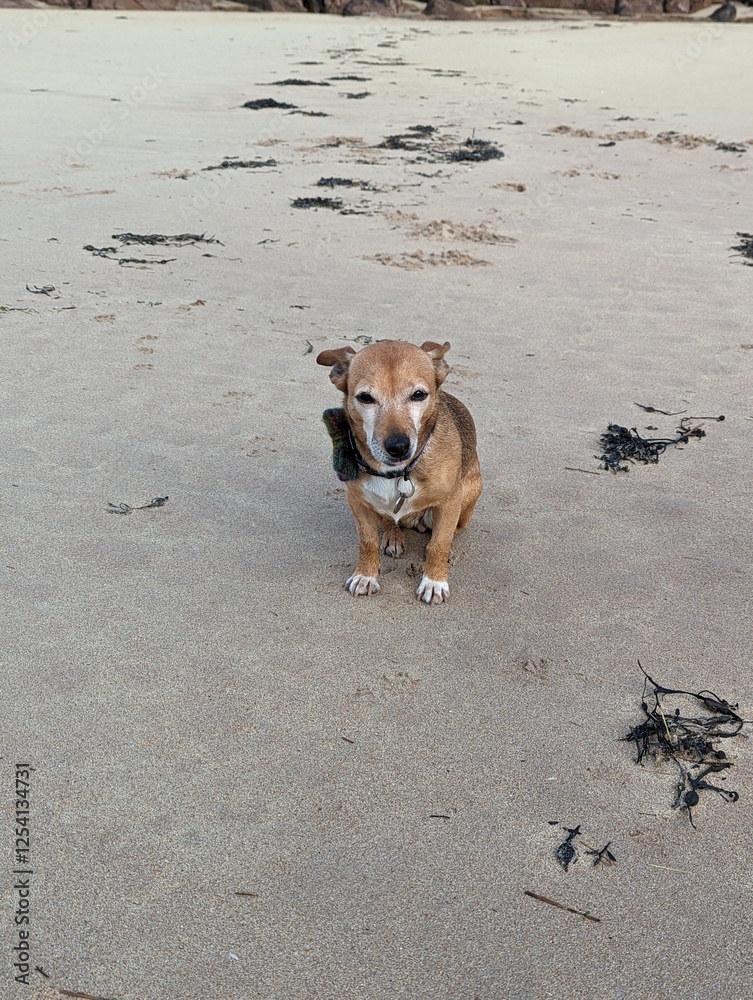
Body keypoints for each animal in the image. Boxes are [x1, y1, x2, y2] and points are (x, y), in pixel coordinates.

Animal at [316, 340, 482, 600]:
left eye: (418, 395)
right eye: (365, 397)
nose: (398, 447)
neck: (397, 473)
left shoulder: (450, 502)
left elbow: (439, 544)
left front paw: (434, 581)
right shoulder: (358, 502)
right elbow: (368, 542)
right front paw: (365, 575)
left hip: (469, 493)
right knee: (388, 519)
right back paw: (393, 535)